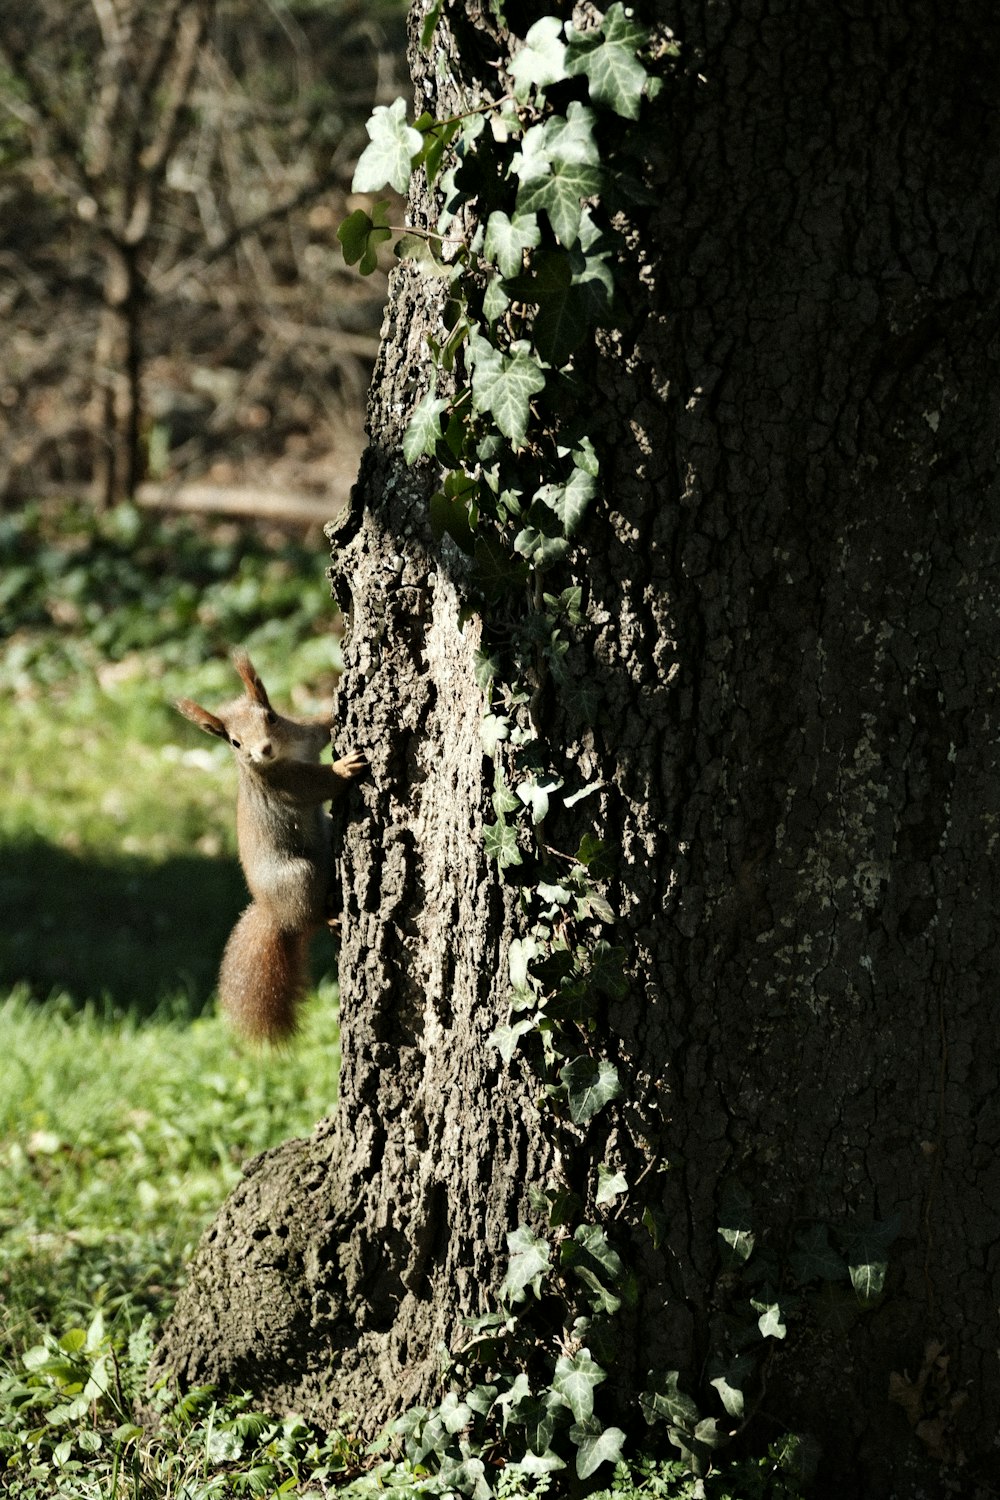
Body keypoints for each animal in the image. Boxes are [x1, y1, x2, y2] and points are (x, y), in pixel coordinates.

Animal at [176, 651, 367, 1050]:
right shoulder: (284, 783)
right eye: (234, 743)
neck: (285, 752)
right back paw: (327, 918)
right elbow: (317, 784)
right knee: (308, 917)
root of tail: (275, 914)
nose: (262, 750)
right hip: (298, 876)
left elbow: (322, 724)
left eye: (272, 718)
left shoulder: (305, 734)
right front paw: (344, 767)